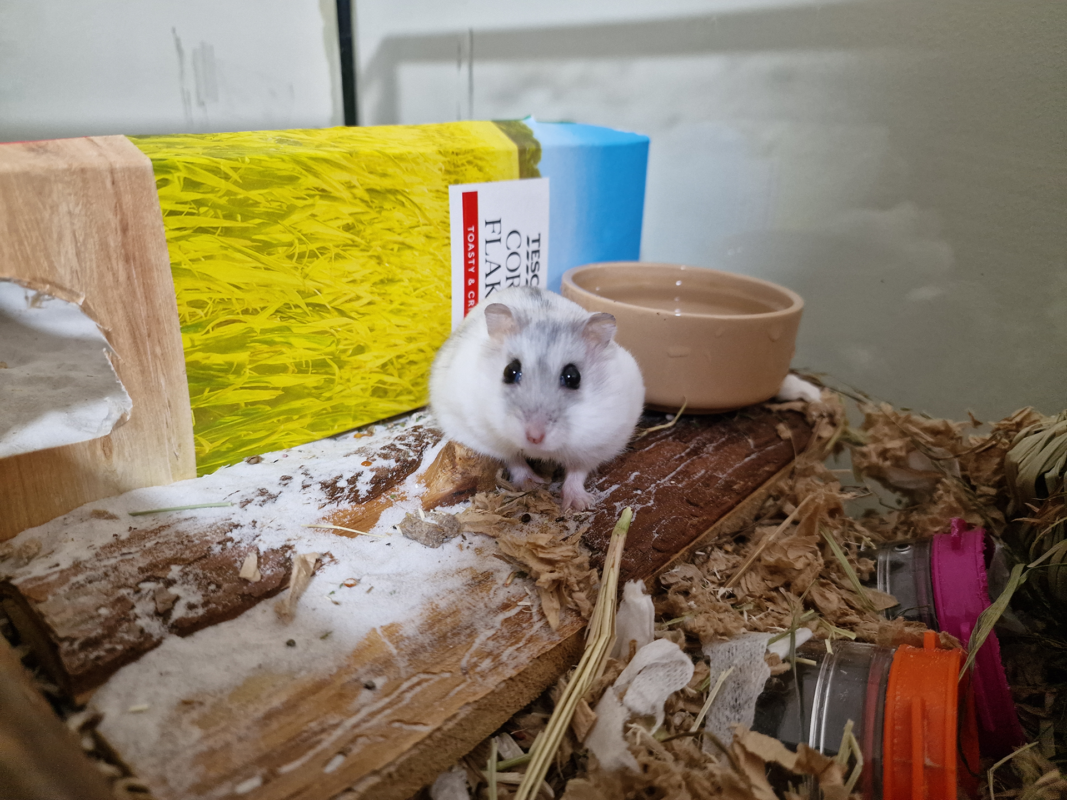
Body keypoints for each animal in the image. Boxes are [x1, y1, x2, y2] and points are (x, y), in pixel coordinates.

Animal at [429, 286, 645, 511]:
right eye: (509, 371)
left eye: (573, 377)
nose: (534, 437)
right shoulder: (487, 438)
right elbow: (515, 460)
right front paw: (533, 484)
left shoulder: (599, 444)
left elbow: (577, 472)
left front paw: (579, 504)